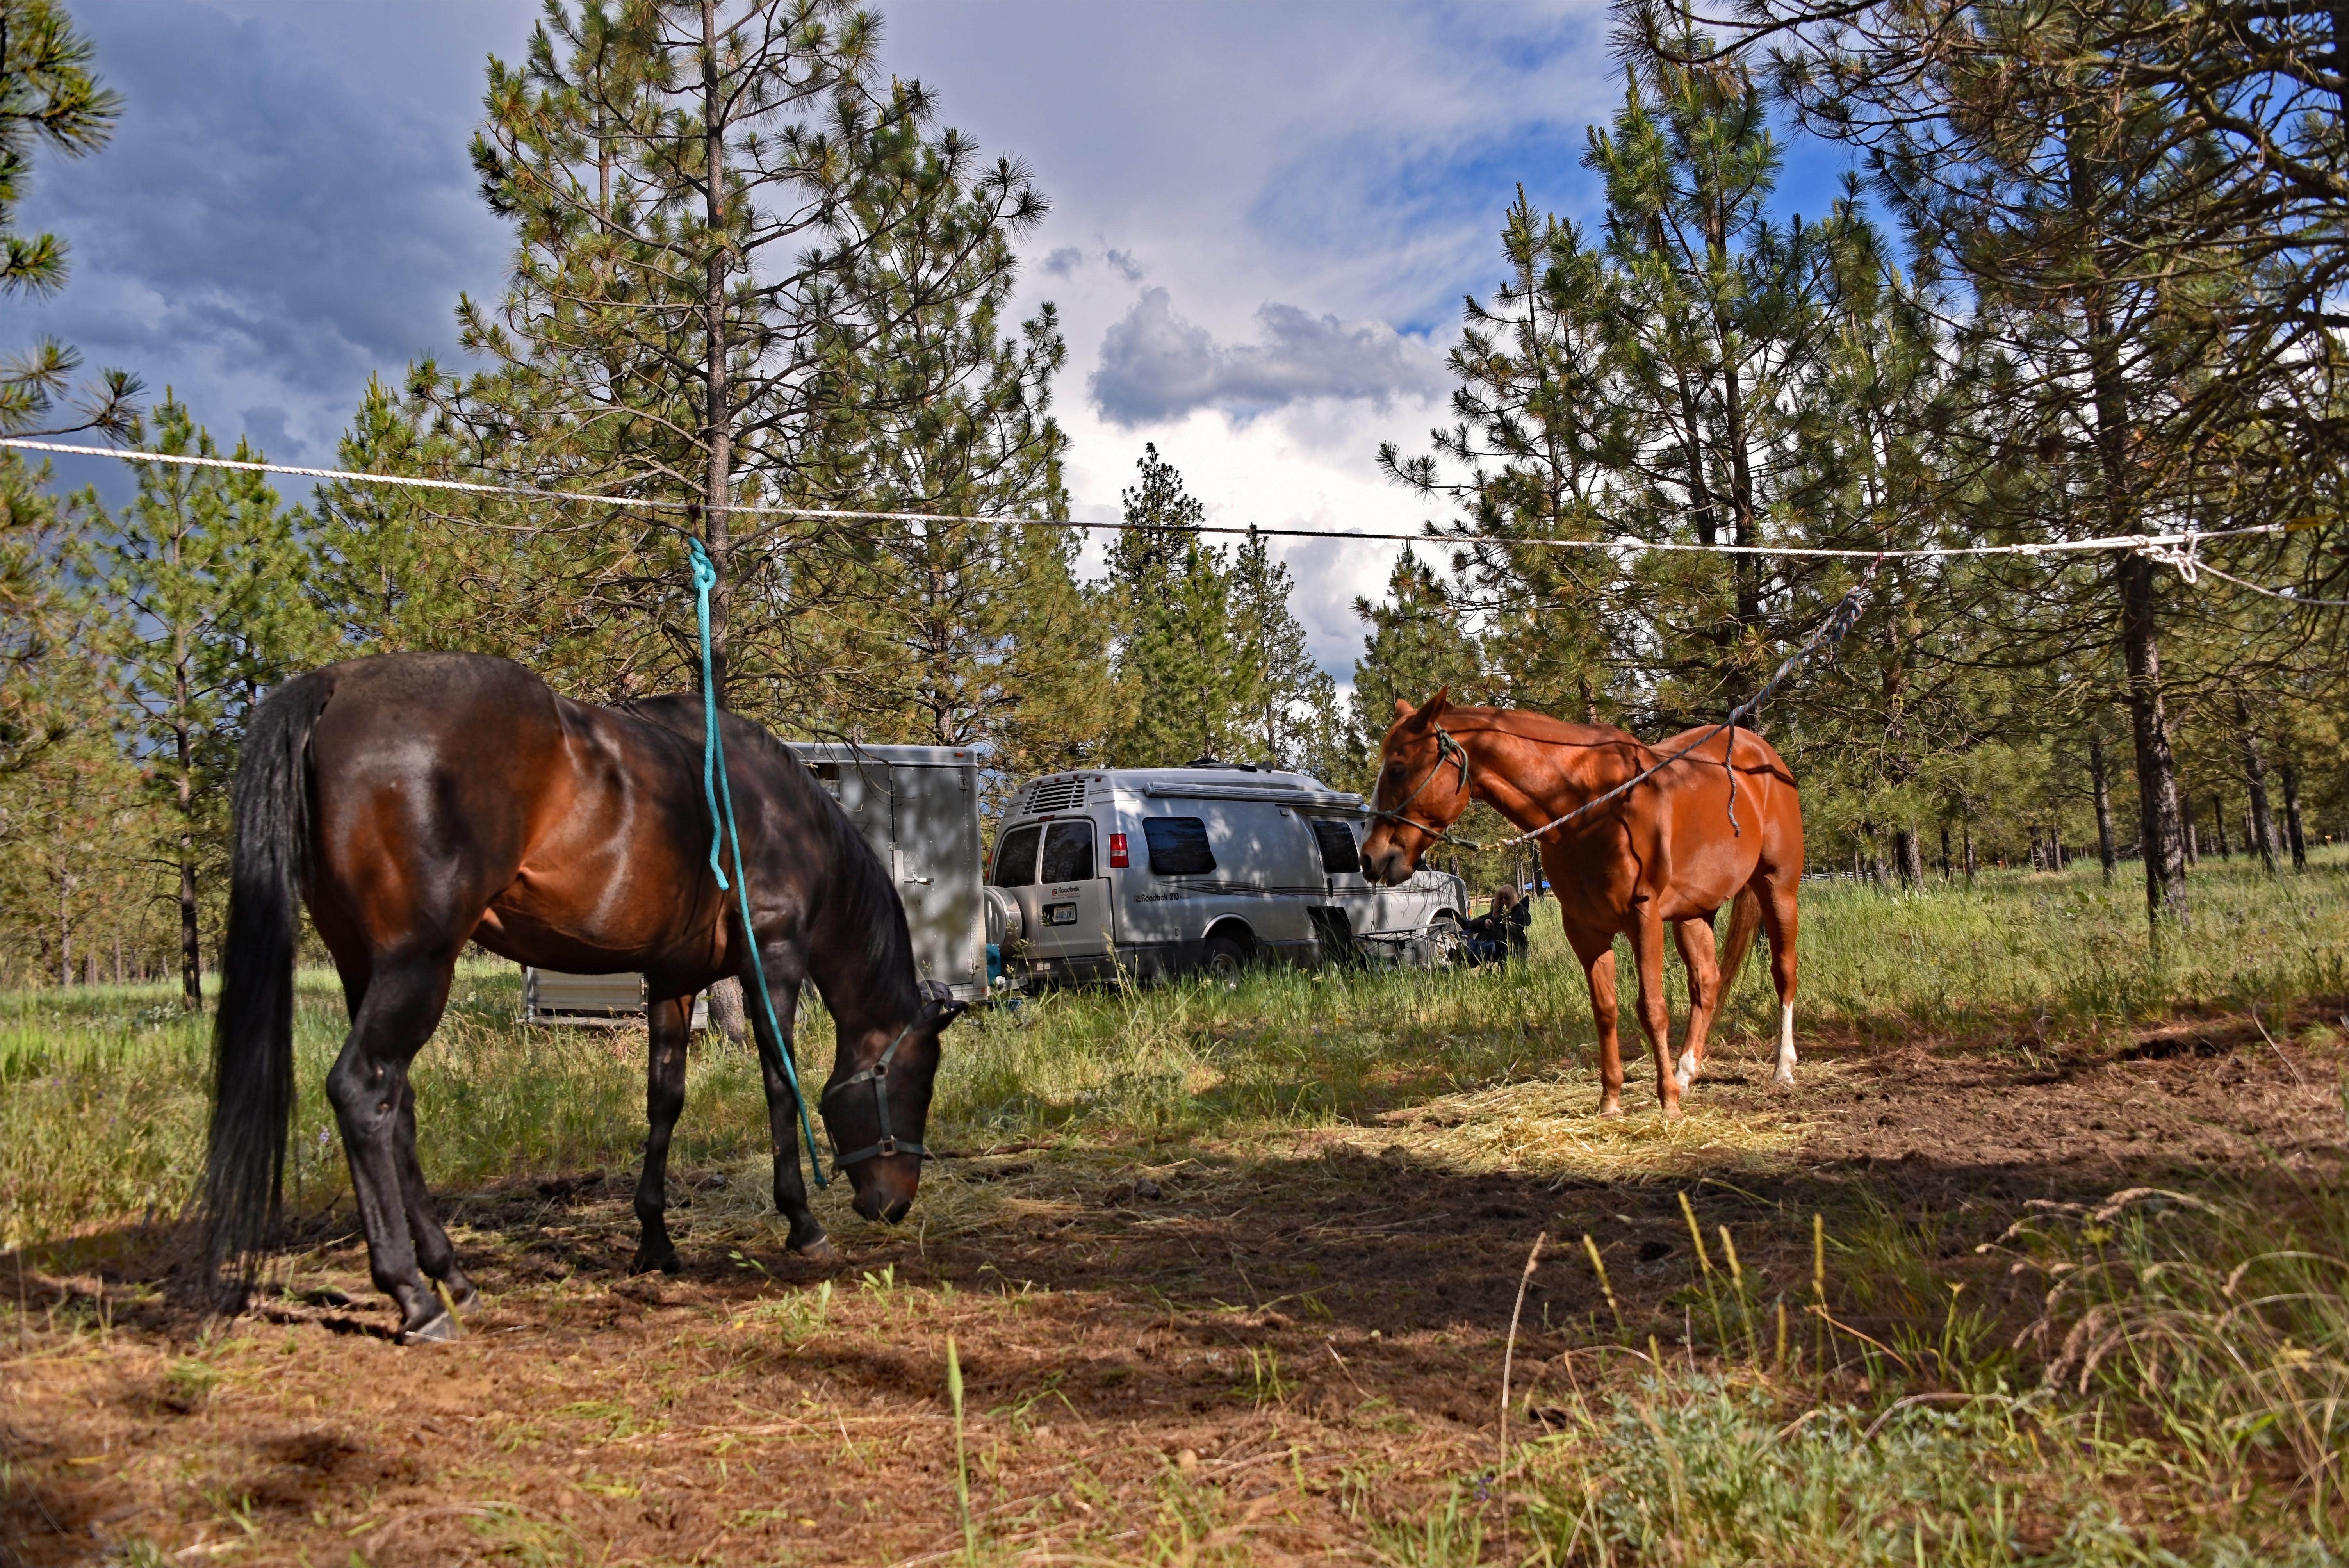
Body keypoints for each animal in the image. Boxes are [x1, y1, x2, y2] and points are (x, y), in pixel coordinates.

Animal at [204, 648, 963, 1333]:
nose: (894, 1204)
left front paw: (655, 1240)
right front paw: (802, 1222)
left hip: (363, 965)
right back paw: (414, 1296)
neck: (779, 811)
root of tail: (340, 685)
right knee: (363, 1088)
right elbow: (782, 1083)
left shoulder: (673, 978)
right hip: (417, 962)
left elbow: (665, 1099)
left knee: (399, 1102)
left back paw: (451, 1275)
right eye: (917, 1082)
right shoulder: (770, 961)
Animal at [1362, 690, 1795, 1122]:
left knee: (1783, 971)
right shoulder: (1586, 929)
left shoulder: (1644, 918)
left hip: (1778, 887)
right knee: (1706, 982)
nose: (1370, 858)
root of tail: (1761, 752)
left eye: (1398, 769)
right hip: (1694, 913)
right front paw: (1611, 1101)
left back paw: (1782, 1067)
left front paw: (1667, 1102)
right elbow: (1605, 1008)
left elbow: (1652, 1007)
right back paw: (1687, 1072)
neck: (1592, 807)